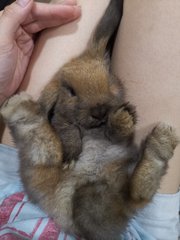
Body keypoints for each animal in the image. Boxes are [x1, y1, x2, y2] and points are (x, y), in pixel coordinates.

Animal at [0, 0, 179, 240]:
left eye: (109, 80)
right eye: (71, 91)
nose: (100, 111)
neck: (93, 130)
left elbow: (116, 132)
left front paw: (124, 119)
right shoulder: (60, 126)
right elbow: (64, 132)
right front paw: (71, 155)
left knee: (136, 193)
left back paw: (160, 142)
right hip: (76, 194)